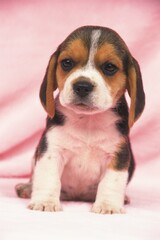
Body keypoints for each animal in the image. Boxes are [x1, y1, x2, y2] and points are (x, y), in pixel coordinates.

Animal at [15, 25, 145, 214]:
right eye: (67, 63)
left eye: (110, 67)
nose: (82, 86)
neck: (88, 120)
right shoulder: (51, 150)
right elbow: (48, 178)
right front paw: (46, 202)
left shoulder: (118, 154)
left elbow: (111, 182)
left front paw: (107, 205)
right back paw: (27, 188)